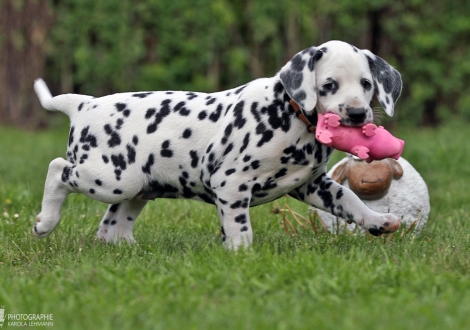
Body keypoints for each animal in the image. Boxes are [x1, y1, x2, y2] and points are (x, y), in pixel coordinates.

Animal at [33, 40, 402, 249]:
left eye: (366, 84)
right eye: (329, 85)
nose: (357, 114)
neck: (288, 113)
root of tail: (84, 104)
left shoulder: (312, 185)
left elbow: (349, 200)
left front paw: (376, 221)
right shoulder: (231, 183)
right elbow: (239, 227)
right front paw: (240, 253)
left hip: (138, 187)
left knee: (111, 226)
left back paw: (128, 248)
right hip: (113, 178)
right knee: (57, 169)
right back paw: (45, 221)